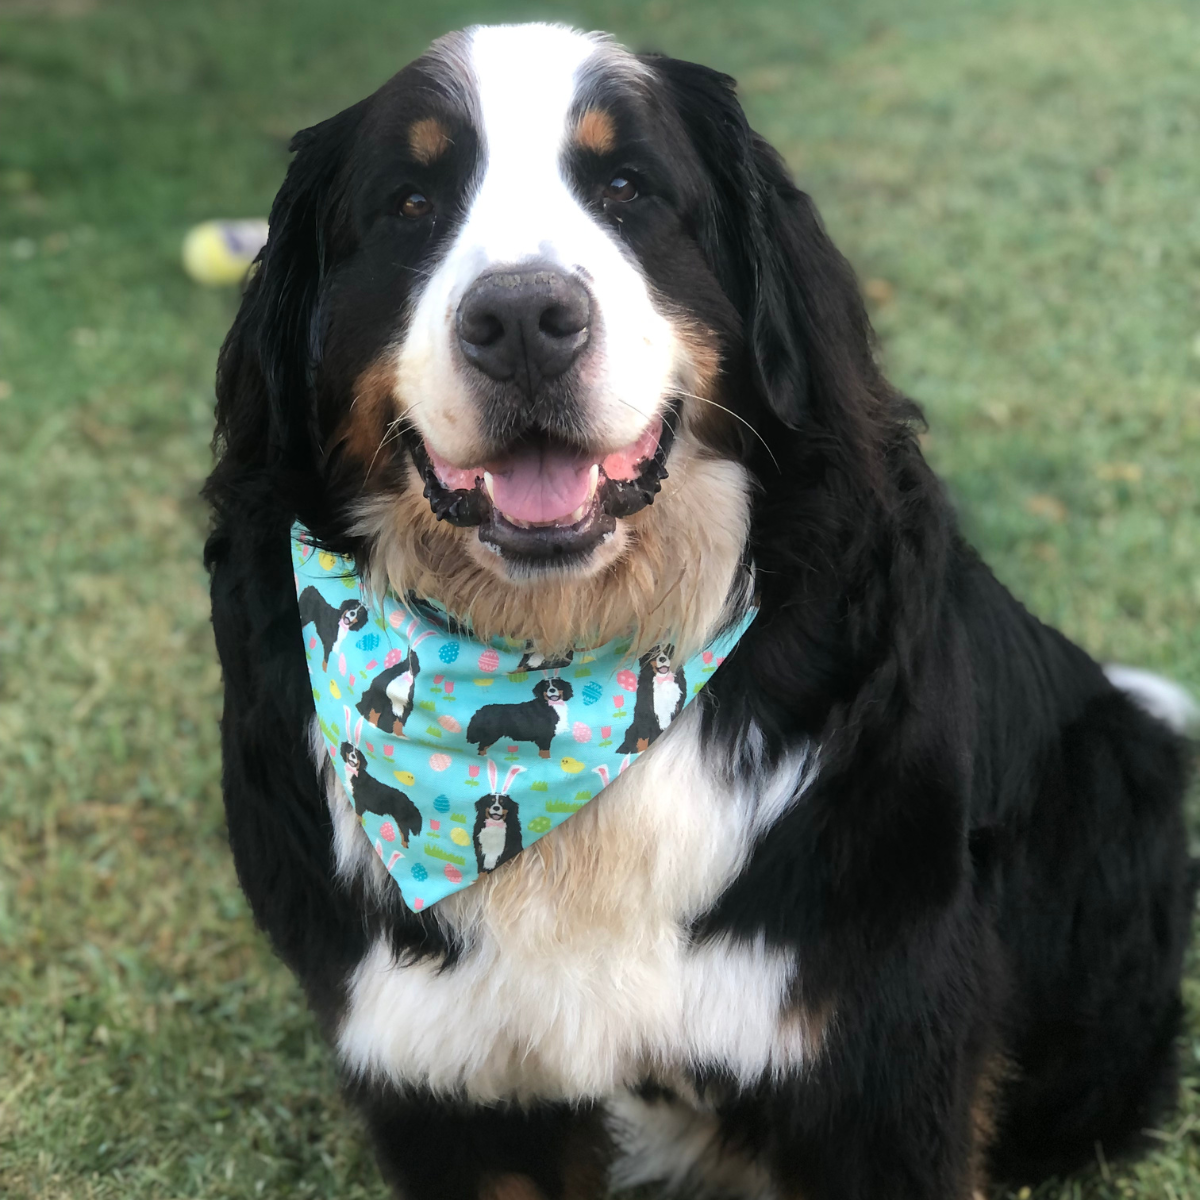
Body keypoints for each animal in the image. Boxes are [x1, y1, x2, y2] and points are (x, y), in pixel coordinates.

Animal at [201, 21, 1195, 1200]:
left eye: (627, 187)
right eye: (410, 202)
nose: (524, 320)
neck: (574, 637)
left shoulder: (872, 1048)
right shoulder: (446, 1075)